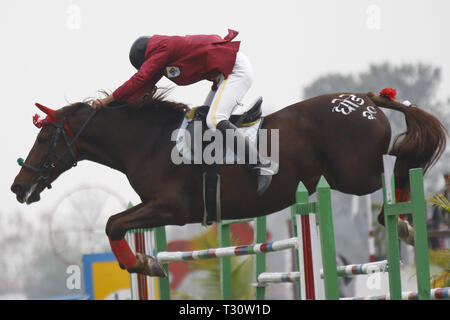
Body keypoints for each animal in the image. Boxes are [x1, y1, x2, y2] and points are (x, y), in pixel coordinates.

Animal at [10, 89, 446, 276]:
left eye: (44, 137)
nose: (18, 187)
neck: (148, 142)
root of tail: (365, 101)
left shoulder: (172, 208)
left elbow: (111, 223)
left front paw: (143, 266)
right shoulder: (158, 209)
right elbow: (115, 223)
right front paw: (147, 262)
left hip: (354, 175)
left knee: (399, 166)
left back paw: (404, 223)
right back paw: (404, 224)